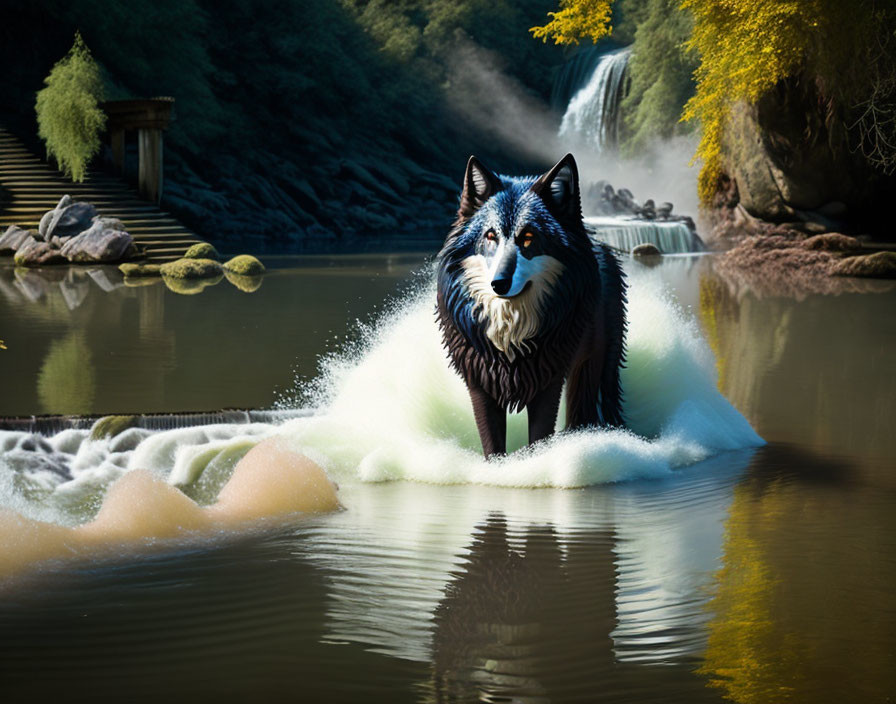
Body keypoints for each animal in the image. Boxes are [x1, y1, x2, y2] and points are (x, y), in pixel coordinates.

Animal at [438, 155, 628, 456]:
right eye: (490, 236)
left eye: (528, 237)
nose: (499, 283)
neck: (510, 337)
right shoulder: (480, 385)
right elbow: (492, 446)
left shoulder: (549, 382)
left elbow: (539, 436)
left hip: (593, 366)